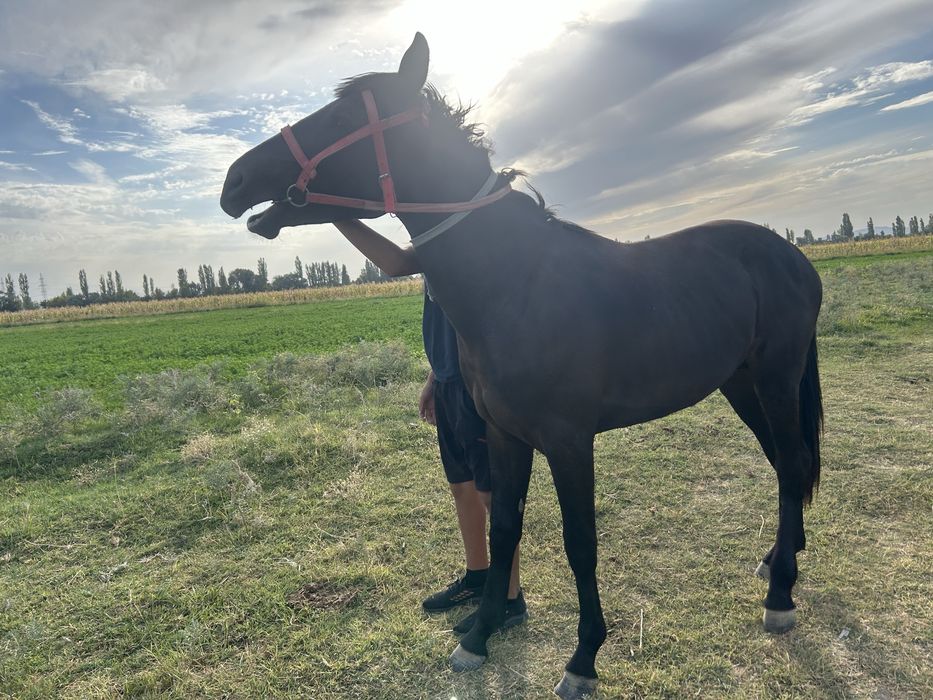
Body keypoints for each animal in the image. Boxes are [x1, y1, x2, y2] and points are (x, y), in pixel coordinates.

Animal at [220, 33, 823, 699]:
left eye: (344, 117)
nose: (235, 179)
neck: (516, 283)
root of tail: (790, 254)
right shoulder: (505, 435)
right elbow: (504, 528)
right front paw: (479, 636)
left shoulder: (569, 441)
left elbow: (579, 543)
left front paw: (583, 657)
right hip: (741, 383)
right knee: (786, 463)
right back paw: (780, 562)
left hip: (775, 379)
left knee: (792, 463)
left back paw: (780, 597)